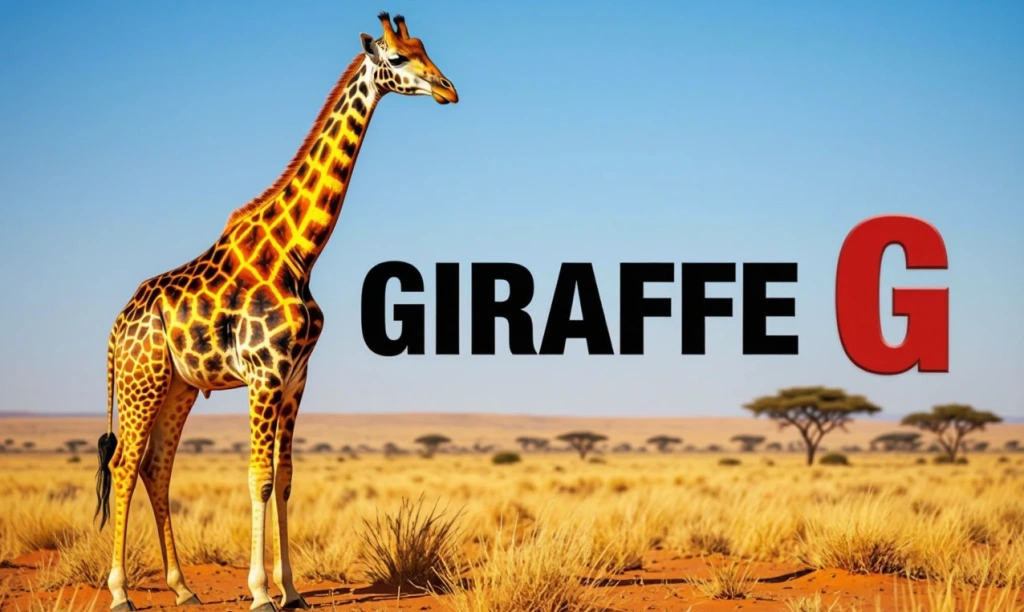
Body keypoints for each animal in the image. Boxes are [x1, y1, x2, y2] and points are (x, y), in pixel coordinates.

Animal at [93, 13, 457, 611]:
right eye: (397, 58)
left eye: (424, 48)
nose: (449, 89)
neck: (298, 252)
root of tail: (117, 326)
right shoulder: (265, 374)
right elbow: (259, 478)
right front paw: (262, 592)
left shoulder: (296, 379)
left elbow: (285, 479)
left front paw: (294, 591)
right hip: (140, 380)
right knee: (124, 464)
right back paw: (121, 591)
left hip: (178, 386)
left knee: (156, 467)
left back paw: (183, 587)